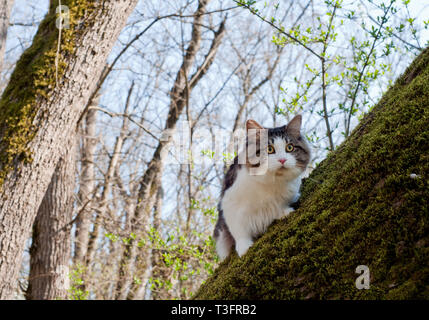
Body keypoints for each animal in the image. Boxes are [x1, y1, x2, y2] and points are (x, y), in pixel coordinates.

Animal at [213, 115, 308, 260]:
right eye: (269, 149)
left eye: (290, 148)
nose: (282, 160)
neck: (271, 183)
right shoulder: (230, 205)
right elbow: (239, 230)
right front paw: (244, 248)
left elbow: (279, 206)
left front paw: (284, 212)